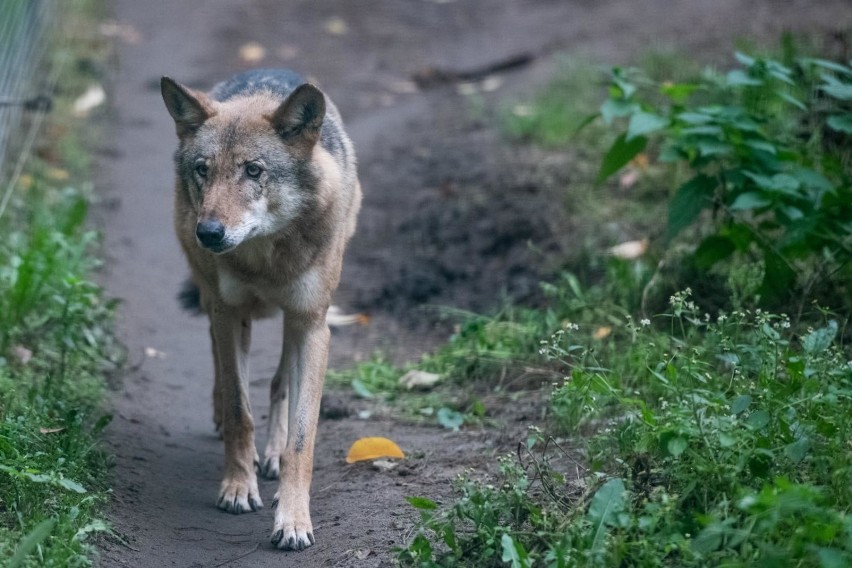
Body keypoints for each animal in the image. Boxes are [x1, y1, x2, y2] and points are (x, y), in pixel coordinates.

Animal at [160, 67, 360, 552]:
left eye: (253, 170)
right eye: (203, 170)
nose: (209, 233)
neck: (265, 258)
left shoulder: (312, 324)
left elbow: (302, 438)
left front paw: (293, 519)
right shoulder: (228, 313)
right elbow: (239, 410)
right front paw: (236, 487)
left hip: (292, 321)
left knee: (278, 383)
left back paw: (269, 455)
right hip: (216, 301)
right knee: (223, 368)